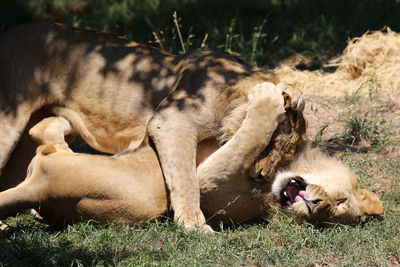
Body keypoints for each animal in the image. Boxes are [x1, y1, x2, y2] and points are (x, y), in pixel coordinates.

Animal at [0, 83, 382, 228]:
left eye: (331, 215)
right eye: (340, 200)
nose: (315, 207)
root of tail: (42, 193)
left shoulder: (209, 182)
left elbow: (248, 136)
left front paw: (268, 97)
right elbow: (244, 127)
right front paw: (290, 104)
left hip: (61, 161)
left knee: (44, 130)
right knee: (43, 129)